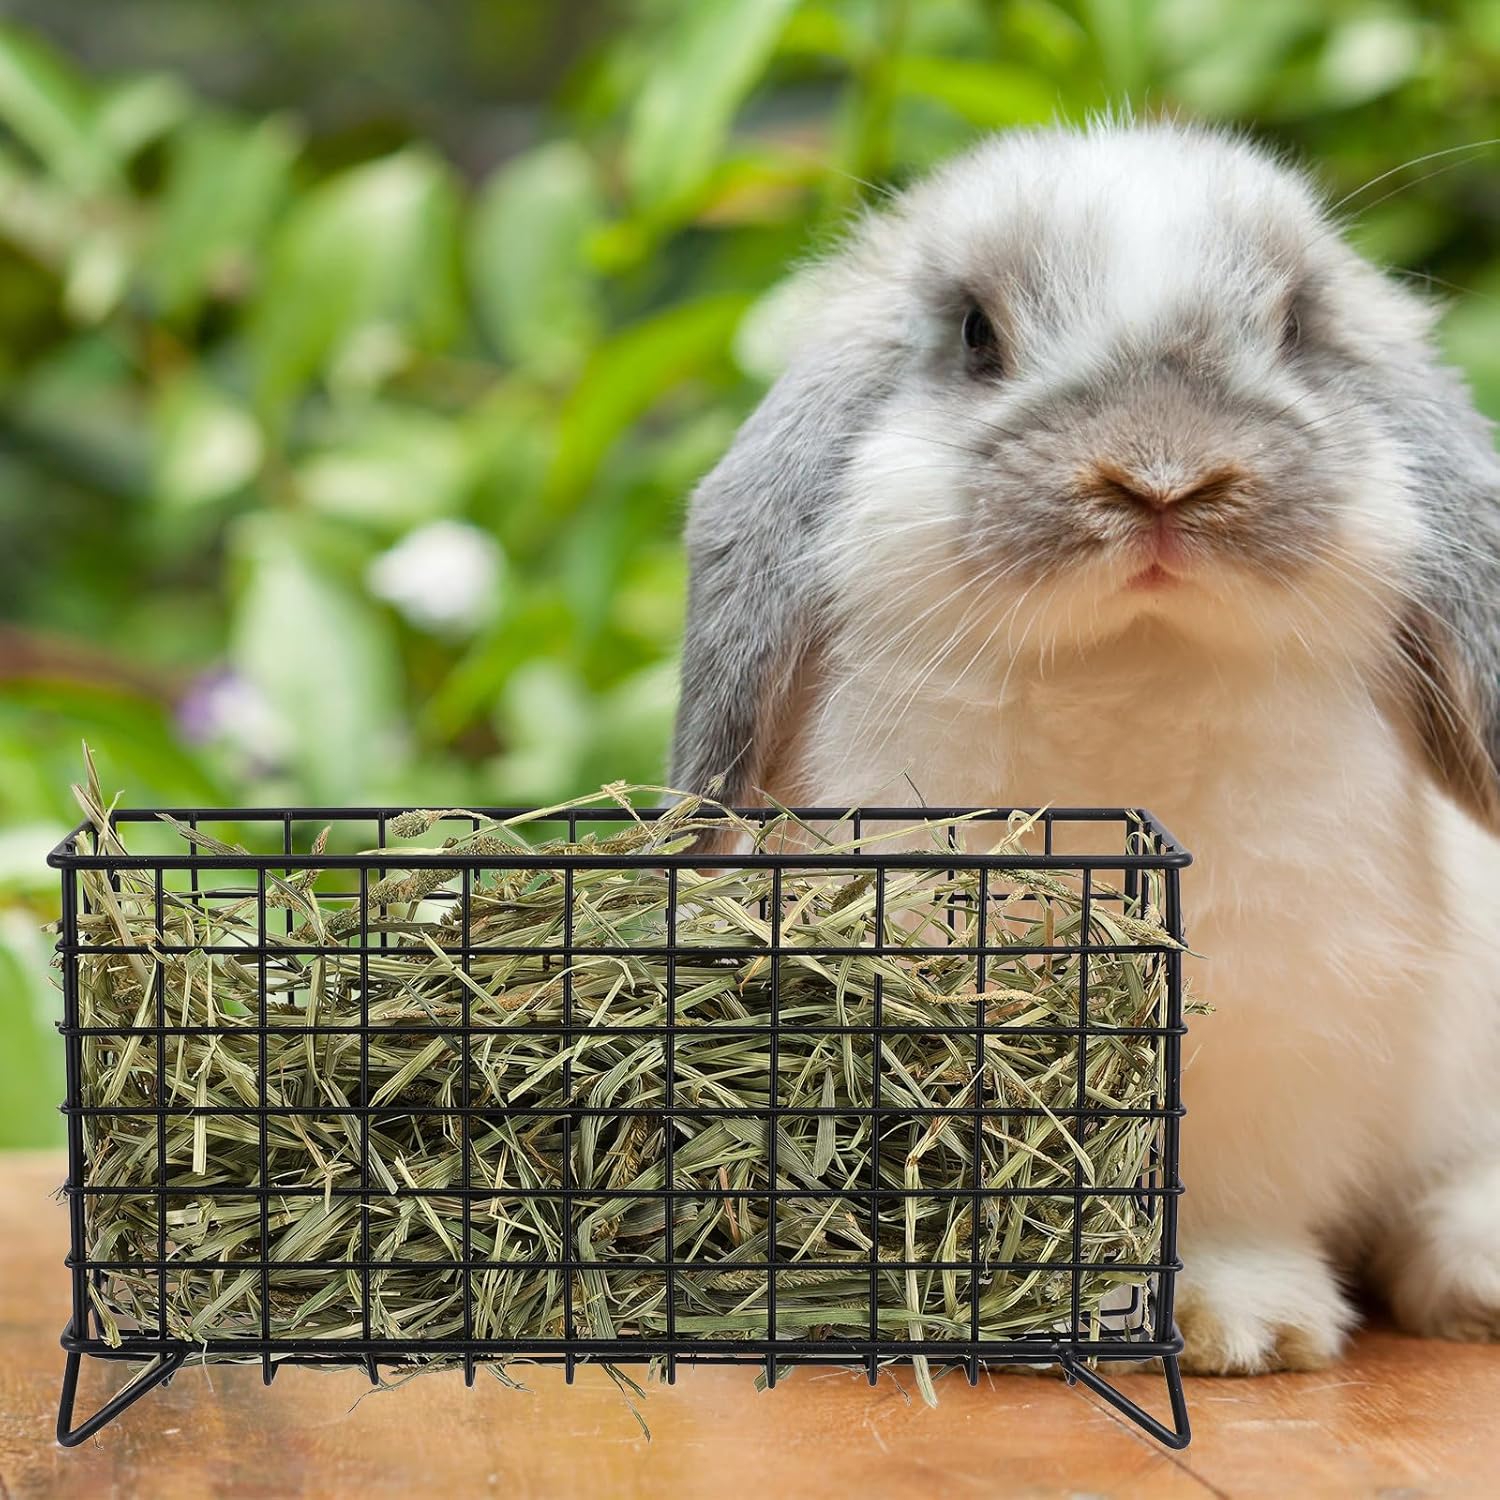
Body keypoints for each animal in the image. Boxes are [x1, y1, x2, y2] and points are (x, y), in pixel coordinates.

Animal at [669, 118, 1500, 1374]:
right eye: (976, 333)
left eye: (1296, 329)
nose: (1161, 477)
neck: (1128, 668)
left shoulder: (1278, 1044)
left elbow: (1223, 1205)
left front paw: (1237, 1329)